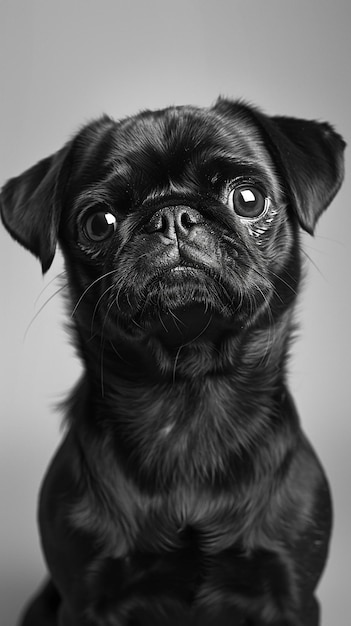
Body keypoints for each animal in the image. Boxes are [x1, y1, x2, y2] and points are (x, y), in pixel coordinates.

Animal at [0, 100, 346, 620]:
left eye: (248, 199)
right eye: (98, 222)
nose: (172, 216)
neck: (188, 400)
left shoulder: (292, 596)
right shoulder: (86, 599)